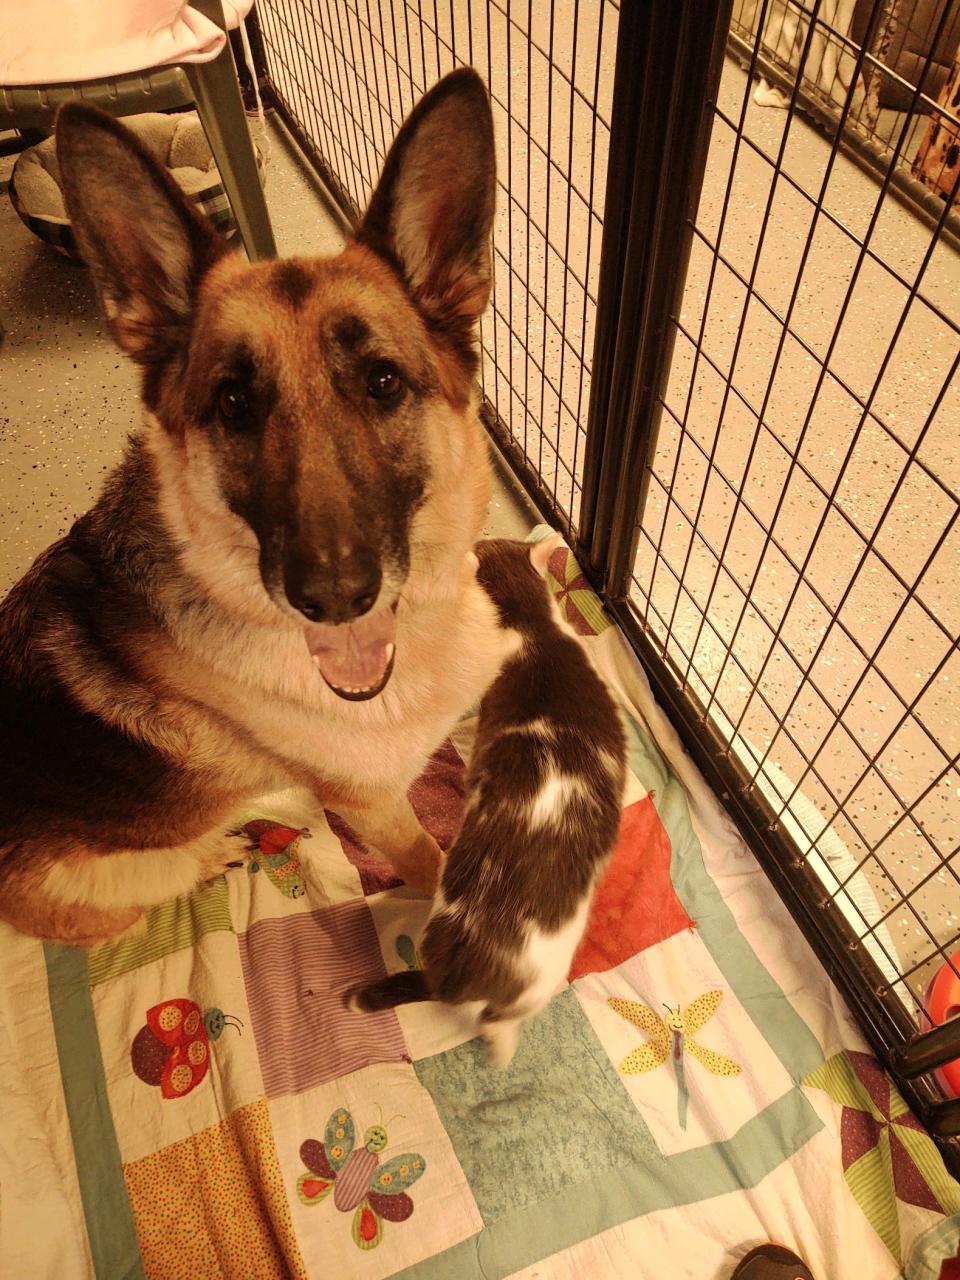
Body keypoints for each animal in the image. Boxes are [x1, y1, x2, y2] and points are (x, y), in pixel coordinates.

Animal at [0, 72, 512, 952]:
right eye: (234, 403)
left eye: (382, 382)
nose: (335, 597)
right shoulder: (376, 808)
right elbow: (430, 860)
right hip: (121, 883)